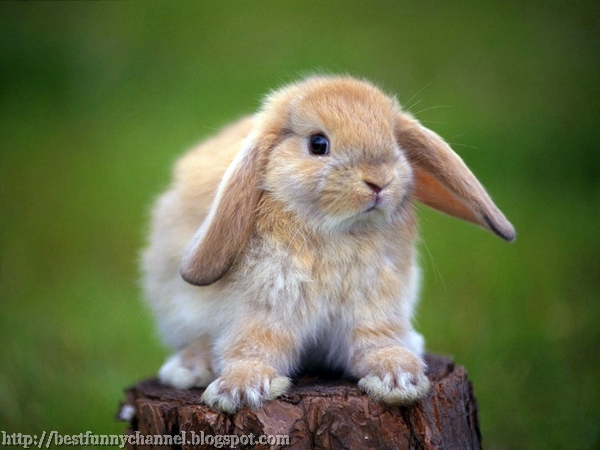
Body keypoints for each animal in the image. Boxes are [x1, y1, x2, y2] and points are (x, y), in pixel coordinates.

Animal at [142, 75, 516, 414]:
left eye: (394, 141)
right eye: (318, 144)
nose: (379, 181)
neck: (338, 231)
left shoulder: (374, 307)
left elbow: (375, 343)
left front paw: (399, 379)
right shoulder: (263, 310)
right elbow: (253, 347)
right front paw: (238, 391)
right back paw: (188, 369)